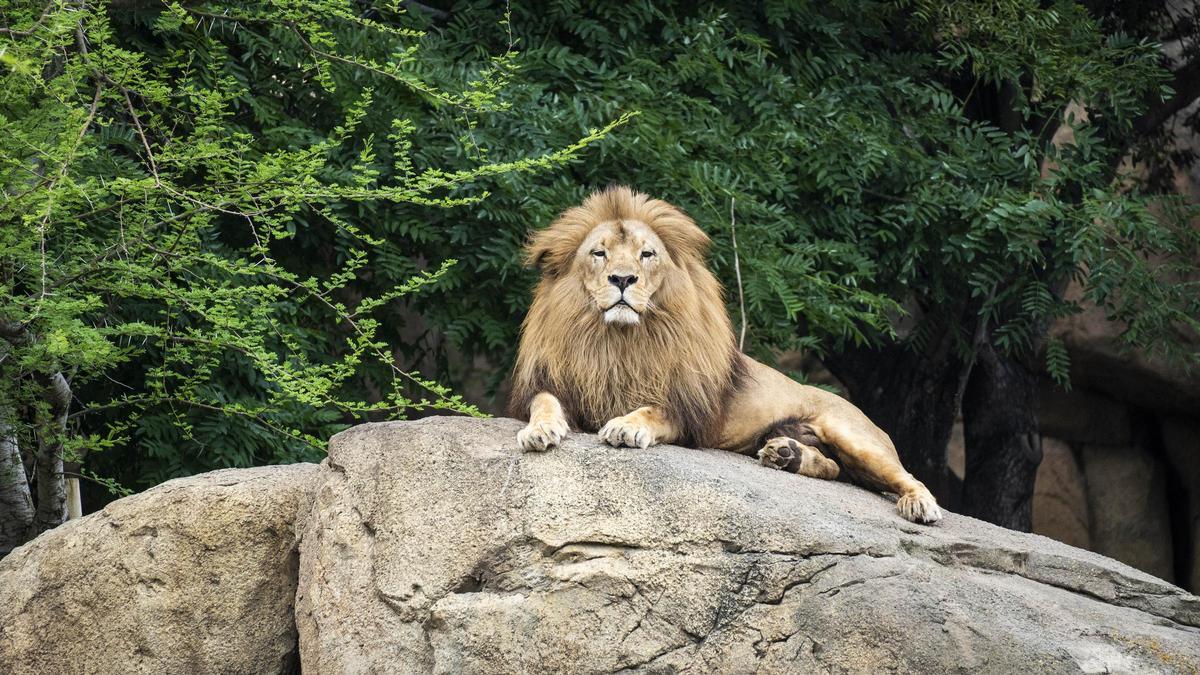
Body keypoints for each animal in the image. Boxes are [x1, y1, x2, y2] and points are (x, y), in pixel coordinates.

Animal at [508, 186, 943, 524]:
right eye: (599, 254)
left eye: (647, 255)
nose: (623, 279)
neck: (618, 341)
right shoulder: (559, 383)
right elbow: (544, 401)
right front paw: (539, 430)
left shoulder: (688, 412)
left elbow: (653, 410)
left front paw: (627, 426)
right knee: (835, 467)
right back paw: (786, 454)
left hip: (855, 436)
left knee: (905, 475)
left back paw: (920, 505)